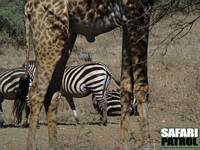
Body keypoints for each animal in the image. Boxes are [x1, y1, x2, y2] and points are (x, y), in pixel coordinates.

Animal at [24, 0, 153, 149]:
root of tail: (27, 6)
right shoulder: (138, 12)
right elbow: (142, 85)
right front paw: (147, 146)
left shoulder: (127, 21)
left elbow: (126, 86)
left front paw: (123, 146)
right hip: (50, 39)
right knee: (36, 92)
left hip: (66, 38)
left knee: (51, 93)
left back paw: (54, 144)